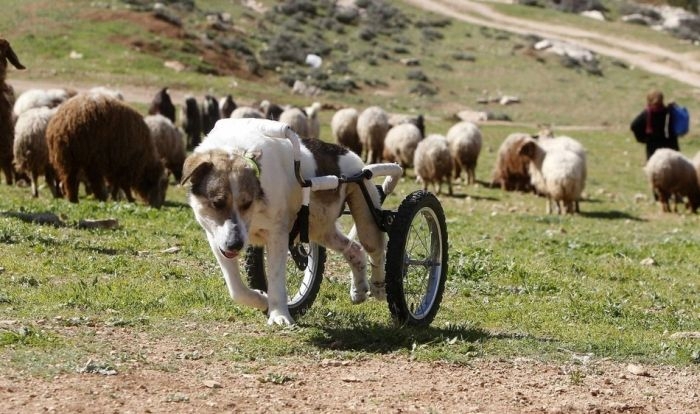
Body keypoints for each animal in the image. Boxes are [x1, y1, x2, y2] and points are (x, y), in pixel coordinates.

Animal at [183, 118, 386, 326]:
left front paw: (279, 313)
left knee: (375, 251)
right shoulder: (216, 239)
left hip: (365, 215)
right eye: (217, 203)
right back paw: (359, 289)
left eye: (247, 203)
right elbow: (236, 289)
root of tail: (349, 153)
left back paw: (378, 287)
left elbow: (276, 278)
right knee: (354, 248)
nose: (235, 244)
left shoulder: (278, 235)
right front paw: (261, 299)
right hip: (319, 228)